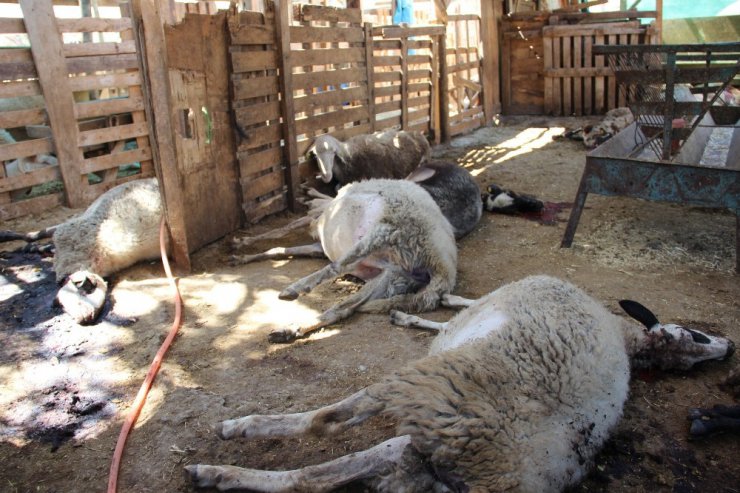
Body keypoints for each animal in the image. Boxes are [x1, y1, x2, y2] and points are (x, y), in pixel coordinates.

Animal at [186, 274, 736, 490]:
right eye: (695, 334)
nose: (729, 348)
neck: (624, 336)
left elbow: (457, 309)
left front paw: (418, 313)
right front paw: (413, 316)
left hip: (428, 392)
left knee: (325, 422)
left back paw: (235, 434)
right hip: (417, 452)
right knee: (312, 478)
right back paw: (214, 473)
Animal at [249, 177, 456, 342]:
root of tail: (443, 268)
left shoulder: (315, 221)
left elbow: (285, 229)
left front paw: (246, 243)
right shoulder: (318, 244)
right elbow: (288, 249)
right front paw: (249, 256)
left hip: (386, 229)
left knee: (337, 266)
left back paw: (294, 289)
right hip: (394, 276)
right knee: (343, 308)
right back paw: (289, 330)